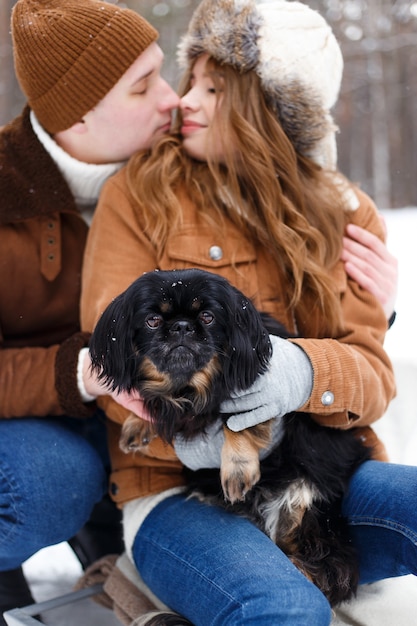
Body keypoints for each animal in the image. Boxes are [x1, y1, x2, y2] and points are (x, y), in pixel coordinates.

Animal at [89, 266, 368, 604]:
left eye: (207, 317)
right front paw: (138, 422)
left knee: (325, 564)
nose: (182, 327)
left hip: (307, 506)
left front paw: (236, 469)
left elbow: (235, 423)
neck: (192, 387)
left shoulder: (255, 391)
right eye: (153, 320)